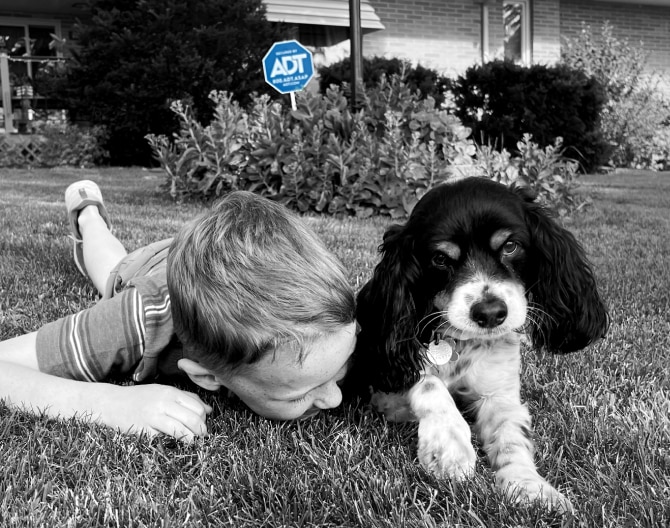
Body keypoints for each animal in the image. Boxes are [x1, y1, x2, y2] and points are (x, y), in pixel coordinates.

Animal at [350, 176, 612, 512]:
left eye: (510, 246)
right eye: (440, 259)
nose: (489, 313)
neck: (460, 346)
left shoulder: (500, 392)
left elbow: (512, 435)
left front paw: (530, 486)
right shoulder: (387, 379)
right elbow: (429, 383)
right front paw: (449, 448)